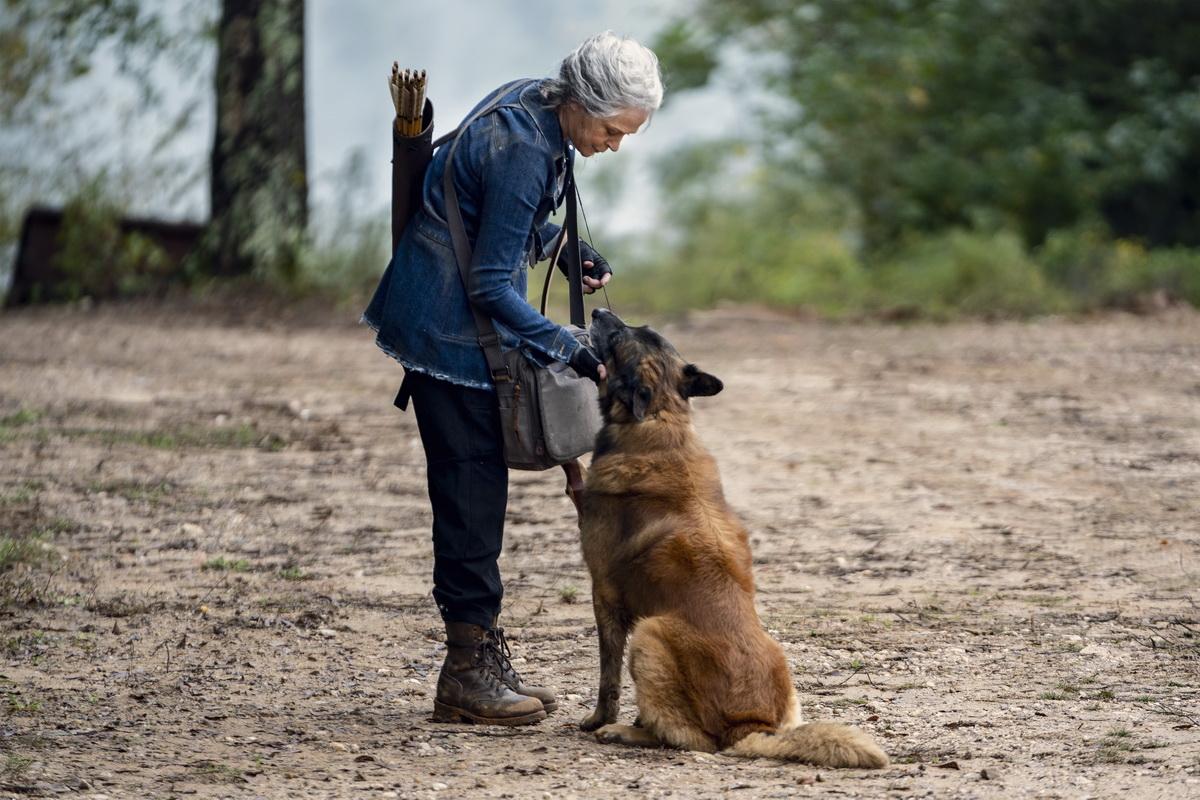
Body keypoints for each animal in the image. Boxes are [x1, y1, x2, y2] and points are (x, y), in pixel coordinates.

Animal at [576, 309, 888, 767]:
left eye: (619, 336)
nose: (597, 312)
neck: (661, 418)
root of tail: (750, 727)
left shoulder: (605, 594)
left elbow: (607, 675)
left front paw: (599, 719)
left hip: (651, 634)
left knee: (689, 738)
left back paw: (624, 732)